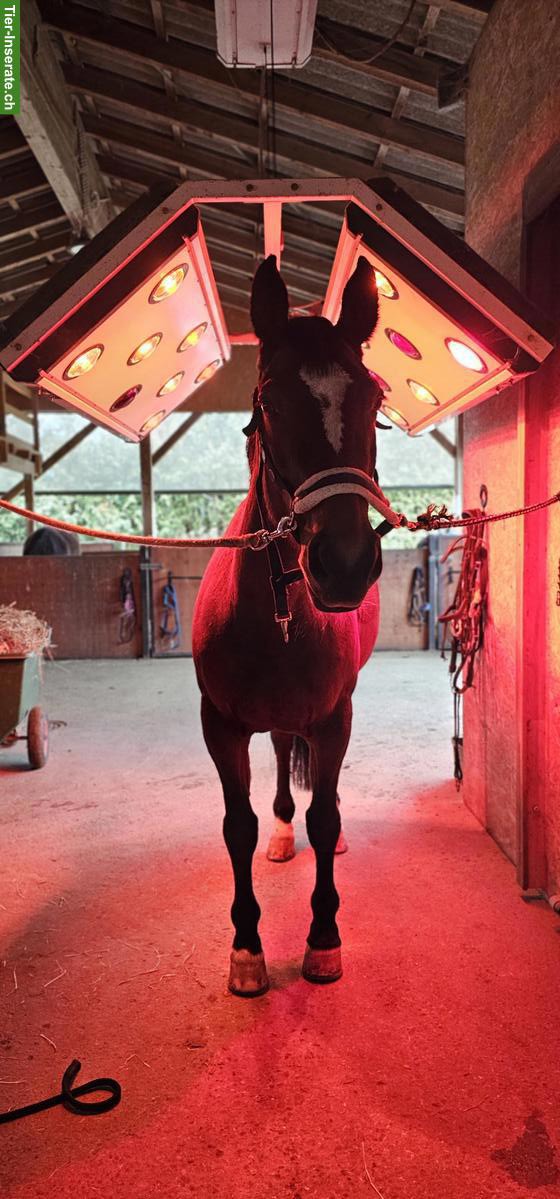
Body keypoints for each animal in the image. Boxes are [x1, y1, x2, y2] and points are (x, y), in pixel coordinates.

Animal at [192, 253, 384, 996]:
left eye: (375, 402)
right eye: (269, 403)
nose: (346, 564)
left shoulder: (335, 716)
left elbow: (325, 816)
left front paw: (323, 940)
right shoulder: (221, 725)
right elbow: (236, 827)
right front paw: (247, 949)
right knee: (278, 752)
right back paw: (280, 833)